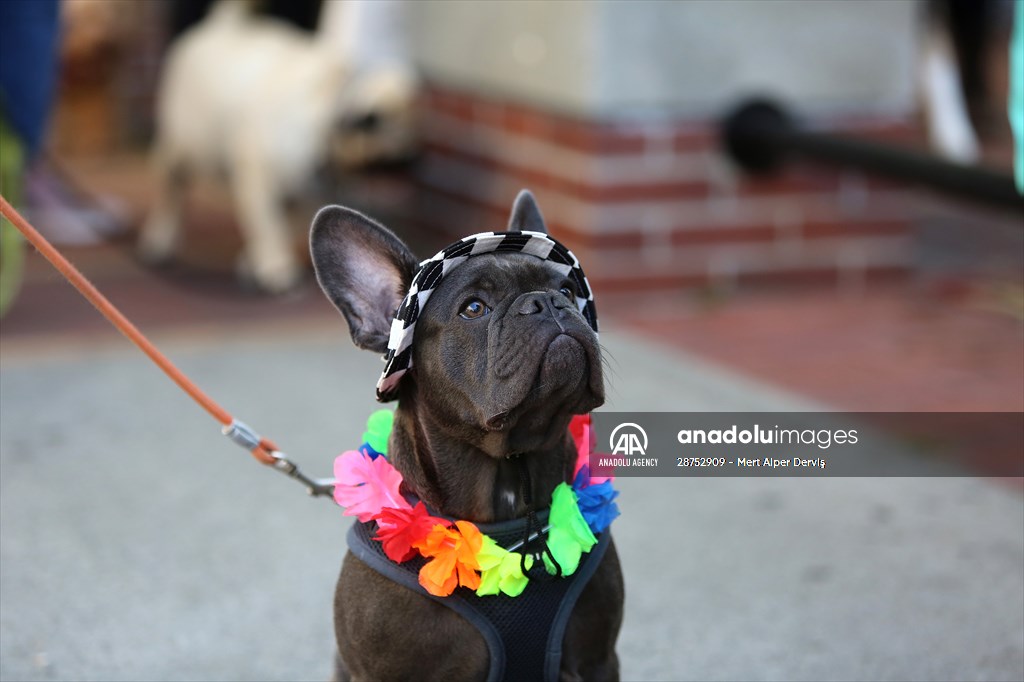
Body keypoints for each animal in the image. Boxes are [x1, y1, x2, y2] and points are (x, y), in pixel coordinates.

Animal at [138, 0, 417, 292]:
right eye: (393, 149)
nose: (412, 160)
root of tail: (223, 24)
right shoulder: (258, 179)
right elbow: (269, 225)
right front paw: (275, 265)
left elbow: (287, 225)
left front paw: (257, 260)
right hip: (183, 147)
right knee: (172, 189)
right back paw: (160, 239)